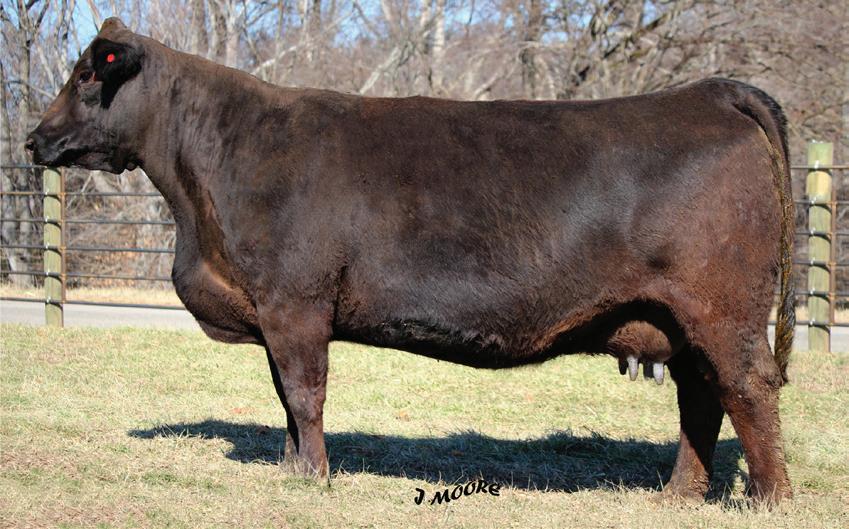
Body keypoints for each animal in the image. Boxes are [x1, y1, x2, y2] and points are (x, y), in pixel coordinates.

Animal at [27, 18, 795, 504]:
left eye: (87, 73)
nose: (35, 139)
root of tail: (707, 91)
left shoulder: (295, 301)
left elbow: (304, 393)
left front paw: (315, 477)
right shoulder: (275, 313)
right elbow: (282, 396)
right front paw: (290, 469)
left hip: (722, 310)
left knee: (747, 388)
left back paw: (768, 499)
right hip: (680, 320)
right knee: (701, 398)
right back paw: (678, 494)